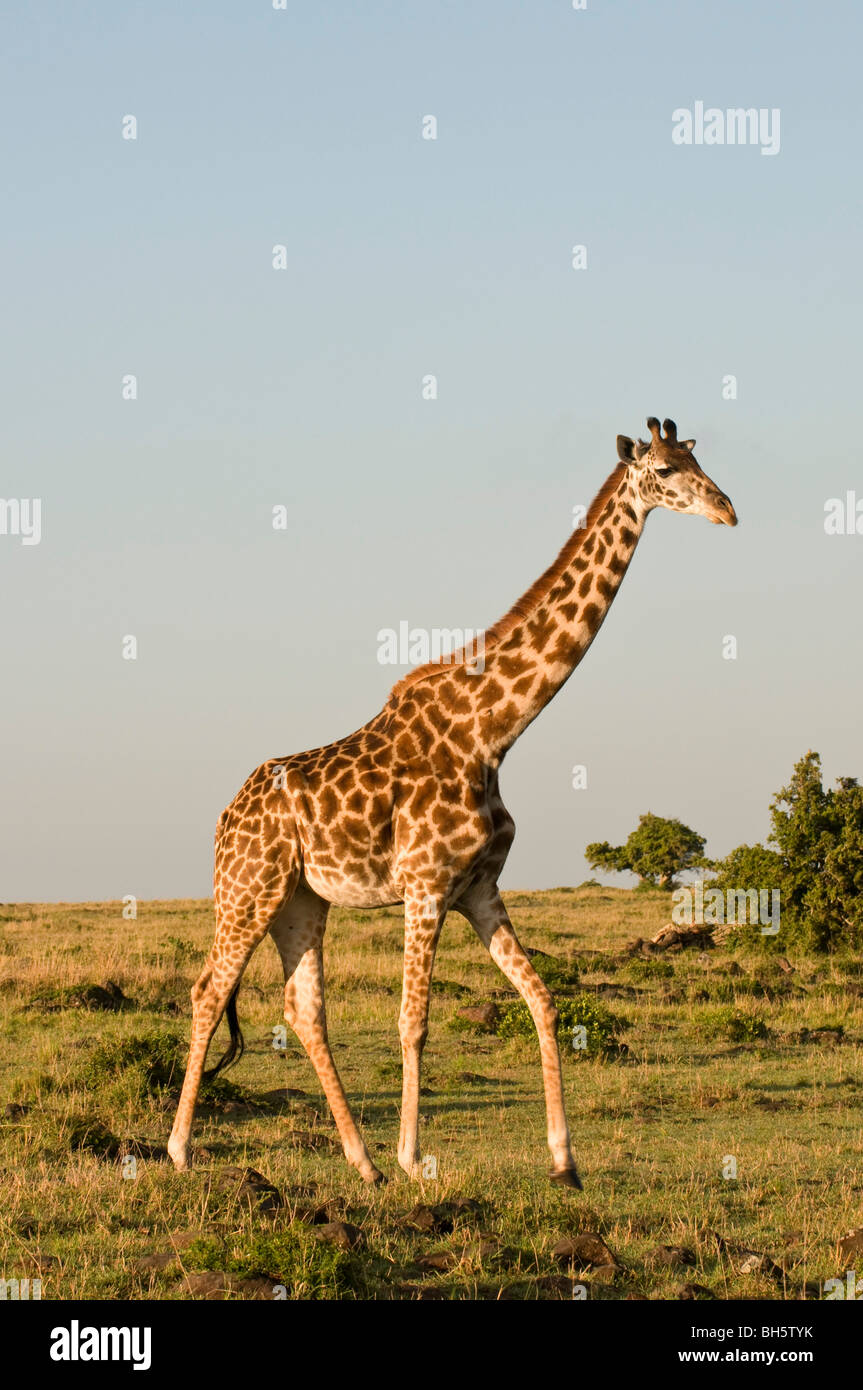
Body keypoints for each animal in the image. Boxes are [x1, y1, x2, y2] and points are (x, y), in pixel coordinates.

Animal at [166, 419, 733, 1184]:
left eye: (698, 459)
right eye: (667, 471)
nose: (727, 511)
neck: (493, 731)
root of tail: (225, 818)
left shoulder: (480, 888)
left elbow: (542, 998)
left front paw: (564, 1161)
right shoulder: (426, 884)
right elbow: (414, 1021)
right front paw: (412, 1158)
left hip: (300, 899)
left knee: (303, 1009)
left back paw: (362, 1163)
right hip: (246, 890)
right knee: (207, 991)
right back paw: (181, 1150)